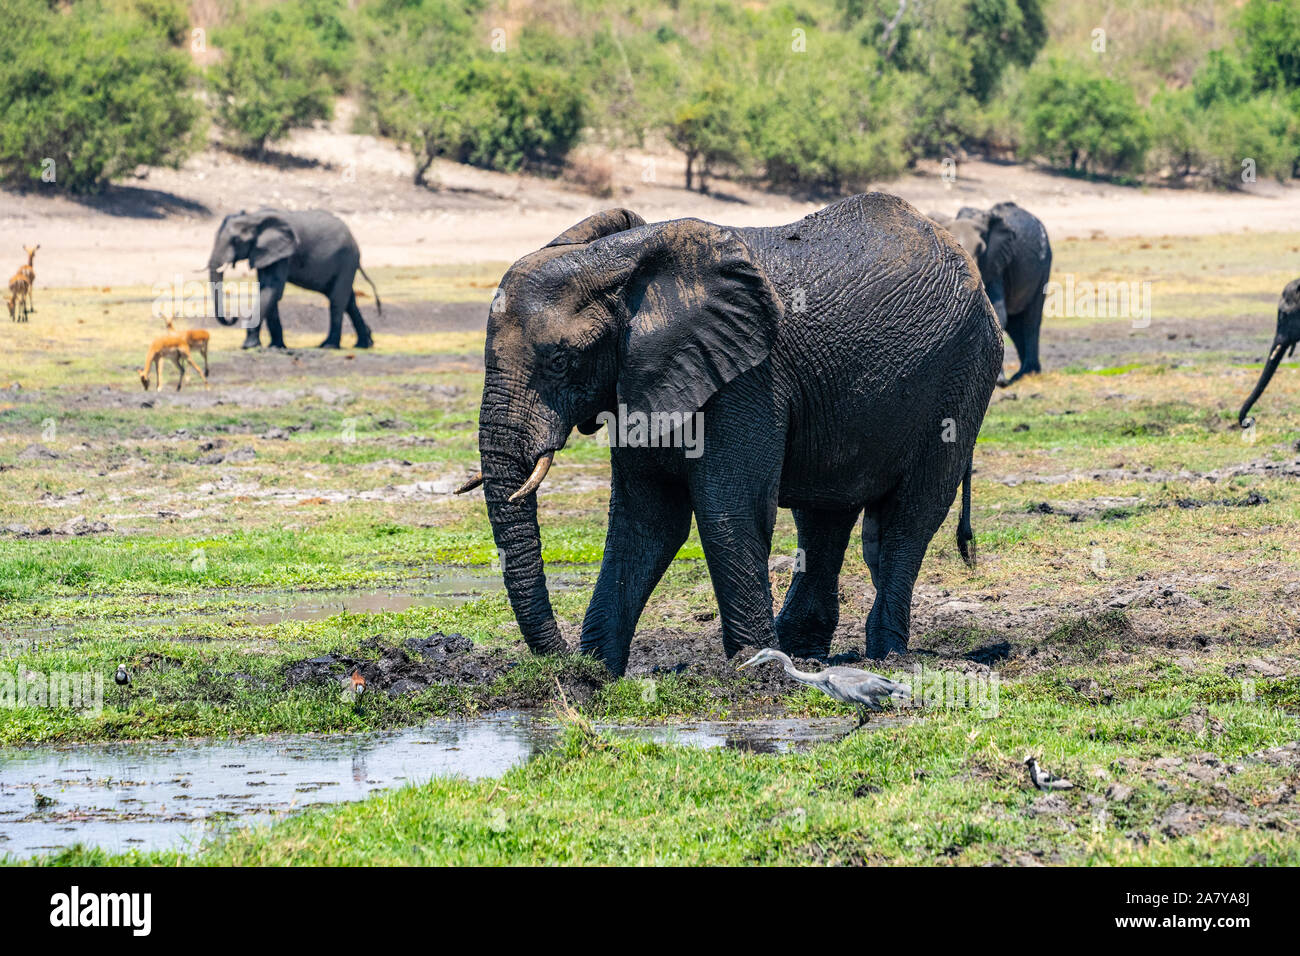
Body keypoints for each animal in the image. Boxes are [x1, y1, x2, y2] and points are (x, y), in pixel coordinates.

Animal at [205, 208, 379, 348]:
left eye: (236, 240)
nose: (233, 317)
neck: (254, 217)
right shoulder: (266, 253)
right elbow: (268, 291)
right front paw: (275, 347)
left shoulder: (282, 253)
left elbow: (273, 289)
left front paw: (249, 346)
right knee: (348, 301)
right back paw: (364, 344)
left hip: (347, 260)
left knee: (337, 300)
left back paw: (329, 346)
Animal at [470, 192, 1003, 671]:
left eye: (560, 362)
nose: (561, 661)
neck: (621, 264)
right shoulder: (643, 377)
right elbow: (647, 520)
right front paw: (598, 674)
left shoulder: (748, 379)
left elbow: (728, 509)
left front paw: (755, 669)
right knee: (825, 517)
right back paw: (805, 655)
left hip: (963, 376)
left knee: (907, 518)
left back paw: (884, 657)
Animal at [930, 201, 1050, 385]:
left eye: (981, 249)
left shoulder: (996, 262)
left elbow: (997, 310)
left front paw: (999, 381)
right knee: (1015, 325)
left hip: (1044, 266)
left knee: (1031, 319)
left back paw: (1027, 374)